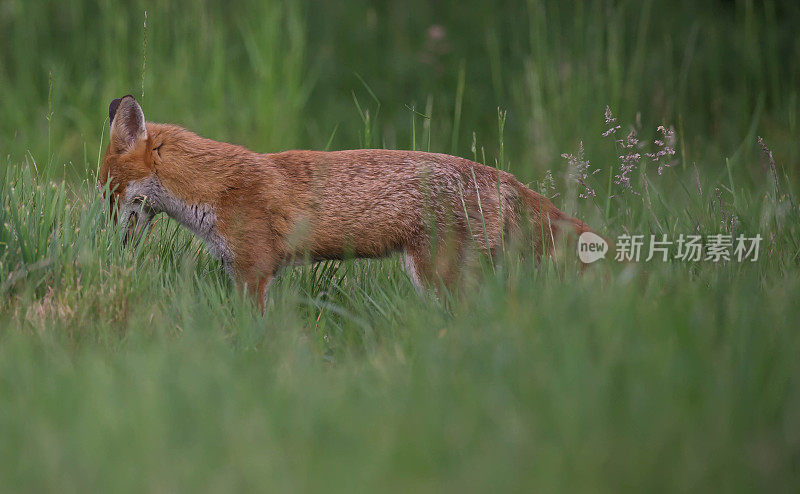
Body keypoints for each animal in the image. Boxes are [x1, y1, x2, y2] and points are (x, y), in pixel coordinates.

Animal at [98, 94, 588, 310]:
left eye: (108, 193)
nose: (102, 239)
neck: (215, 188)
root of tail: (499, 174)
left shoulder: (254, 271)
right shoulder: (246, 271)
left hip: (436, 276)